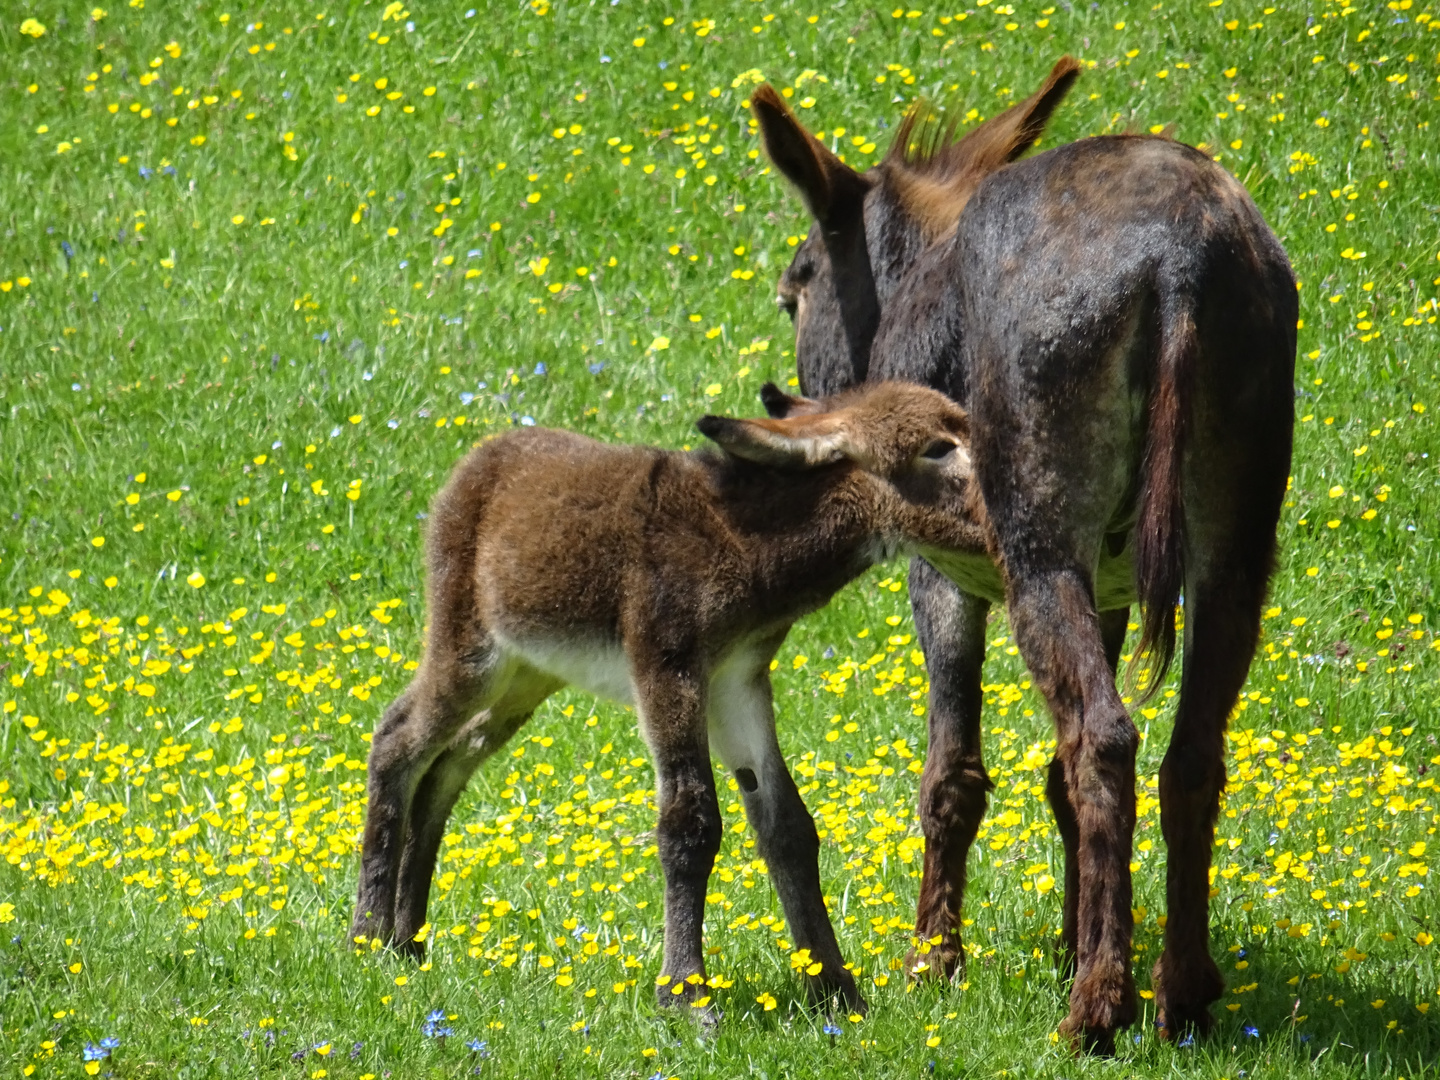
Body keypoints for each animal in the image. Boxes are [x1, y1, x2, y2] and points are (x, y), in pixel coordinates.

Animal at [348, 380, 984, 1025]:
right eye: (938, 449)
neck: (744, 540)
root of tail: (480, 459)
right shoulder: (667, 667)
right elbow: (689, 821)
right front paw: (686, 996)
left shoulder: (737, 681)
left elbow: (786, 826)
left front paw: (834, 992)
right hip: (470, 653)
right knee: (396, 739)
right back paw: (369, 937)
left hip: (527, 677)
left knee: (445, 765)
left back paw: (409, 940)